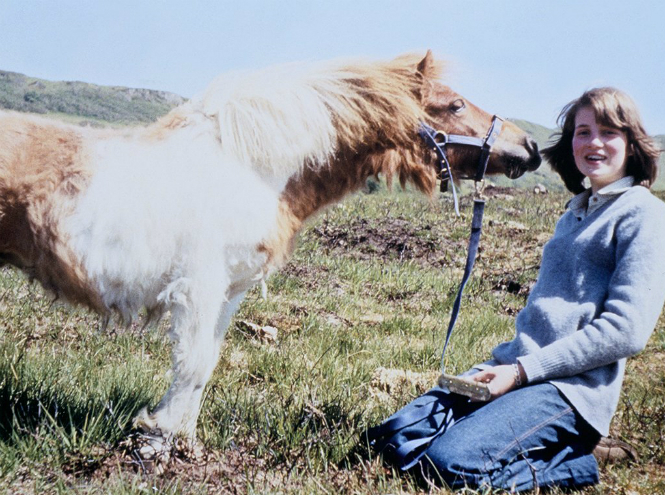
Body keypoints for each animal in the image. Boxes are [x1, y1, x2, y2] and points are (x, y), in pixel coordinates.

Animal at [0, 51, 540, 458]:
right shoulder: (198, 286)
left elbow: (206, 363)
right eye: (454, 105)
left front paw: (182, 441)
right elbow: (192, 363)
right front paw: (158, 441)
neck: (244, 168)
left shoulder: (229, 290)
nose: (530, 146)